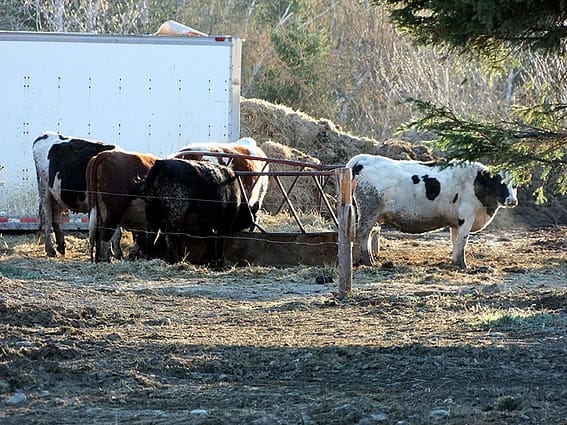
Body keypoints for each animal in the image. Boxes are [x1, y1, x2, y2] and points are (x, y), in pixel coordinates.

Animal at [346, 154, 520, 268]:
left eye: (516, 184)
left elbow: (455, 240)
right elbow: (462, 240)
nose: (512, 201)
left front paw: (455, 261)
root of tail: (362, 160)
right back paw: (368, 261)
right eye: (499, 182)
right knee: (363, 233)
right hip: (368, 211)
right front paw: (463, 265)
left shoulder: (455, 222)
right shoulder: (466, 217)